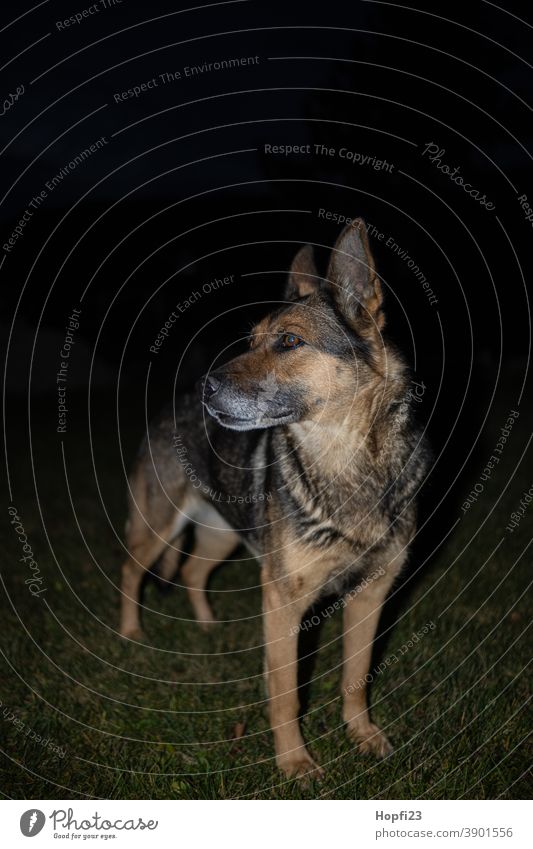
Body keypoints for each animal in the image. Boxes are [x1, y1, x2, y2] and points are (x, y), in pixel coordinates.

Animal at [117, 220, 428, 780]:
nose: (206, 388)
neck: (346, 464)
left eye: (289, 342)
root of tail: (172, 403)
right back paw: (131, 633)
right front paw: (295, 763)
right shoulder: (283, 599)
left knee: (193, 570)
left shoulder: (371, 592)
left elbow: (356, 677)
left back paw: (207, 626)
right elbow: (285, 693)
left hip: (223, 535)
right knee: (132, 570)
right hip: (158, 527)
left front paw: (363, 737)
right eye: (251, 341)